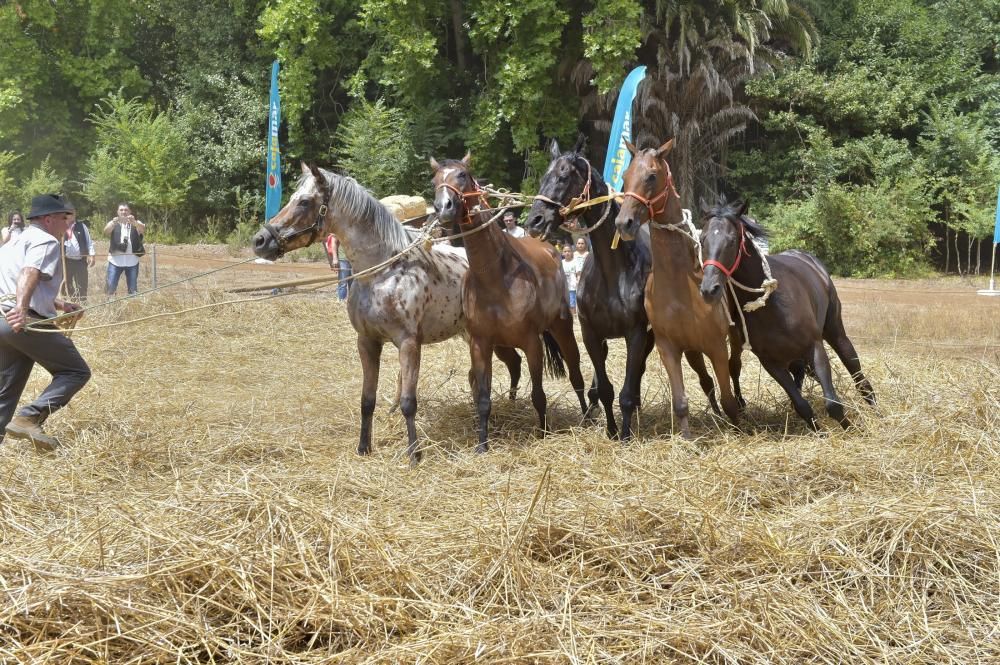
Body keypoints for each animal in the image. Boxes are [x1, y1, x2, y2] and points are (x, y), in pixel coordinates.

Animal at [250, 162, 520, 462]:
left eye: (305, 202)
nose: (260, 240)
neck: (382, 273)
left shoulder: (409, 344)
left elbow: (408, 402)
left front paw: (414, 454)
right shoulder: (367, 342)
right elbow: (367, 400)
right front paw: (363, 447)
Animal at [432, 152, 588, 452]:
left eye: (462, 175)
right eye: (434, 180)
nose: (443, 207)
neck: (495, 276)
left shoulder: (532, 343)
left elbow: (539, 394)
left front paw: (543, 432)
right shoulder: (481, 344)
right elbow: (483, 398)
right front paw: (482, 443)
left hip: (561, 328)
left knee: (575, 373)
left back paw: (588, 413)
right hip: (502, 346)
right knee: (514, 364)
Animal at [524, 139, 728, 440]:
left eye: (564, 177)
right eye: (543, 178)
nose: (534, 221)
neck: (614, 272)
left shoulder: (636, 333)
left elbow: (627, 391)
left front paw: (625, 432)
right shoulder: (592, 335)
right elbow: (607, 389)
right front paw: (611, 428)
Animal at [608, 142, 744, 438]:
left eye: (651, 176)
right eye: (624, 176)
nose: (624, 223)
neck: (680, 288)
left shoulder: (717, 346)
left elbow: (728, 395)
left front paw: (738, 427)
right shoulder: (668, 347)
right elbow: (681, 401)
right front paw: (687, 439)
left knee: (734, 369)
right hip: (692, 350)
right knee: (706, 379)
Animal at [696, 197, 876, 428]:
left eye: (732, 240)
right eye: (702, 240)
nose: (710, 289)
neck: (773, 306)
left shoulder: (814, 347)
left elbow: (833, 404)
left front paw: (851, 430)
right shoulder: (772, 363)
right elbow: (802, 406)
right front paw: (819, 430)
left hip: (834, 330)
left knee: (854, 367)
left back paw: (873, 405)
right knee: (737, 366)